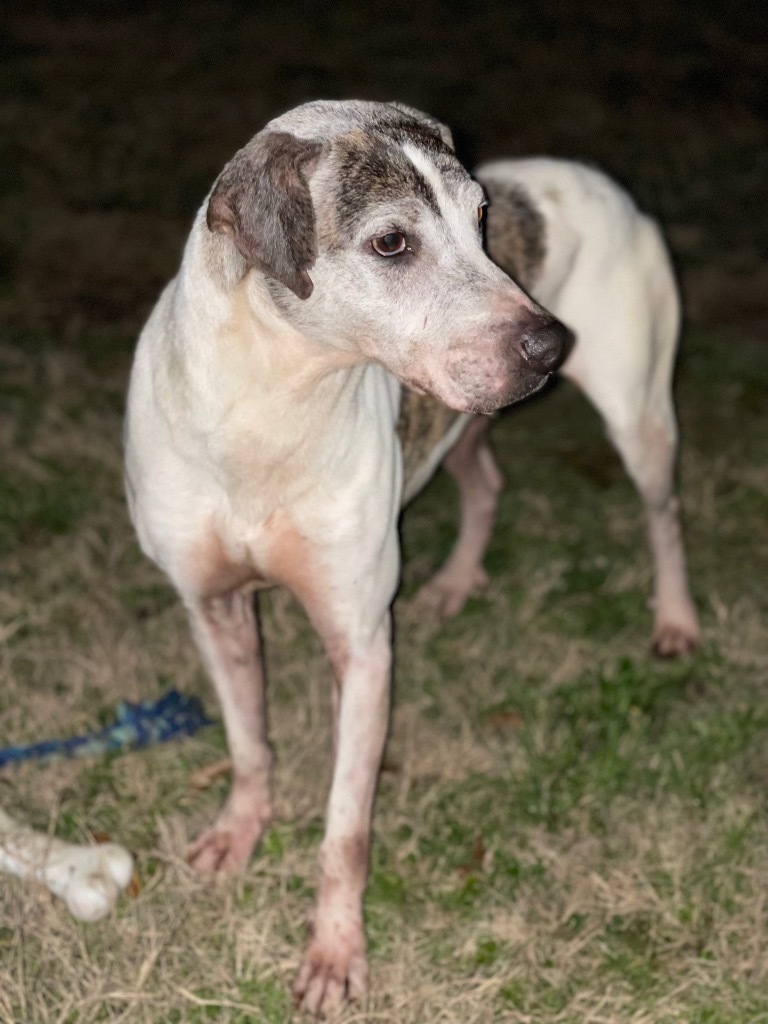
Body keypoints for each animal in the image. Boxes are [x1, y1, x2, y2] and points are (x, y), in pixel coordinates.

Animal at [123, 99, 700, 1011]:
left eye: (482, 217)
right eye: (392, 243)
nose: (549, 345)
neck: (270, 404)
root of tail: (598, 176)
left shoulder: (361, 646)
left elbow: (346, 829)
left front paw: (334, 955)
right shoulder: (213, 605)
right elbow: (250, 744)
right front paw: (238, 833)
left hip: (638, 411)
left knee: (663, 512)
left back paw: (675, 619)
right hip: (461, 425)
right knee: (487, 481)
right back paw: (456, 583)